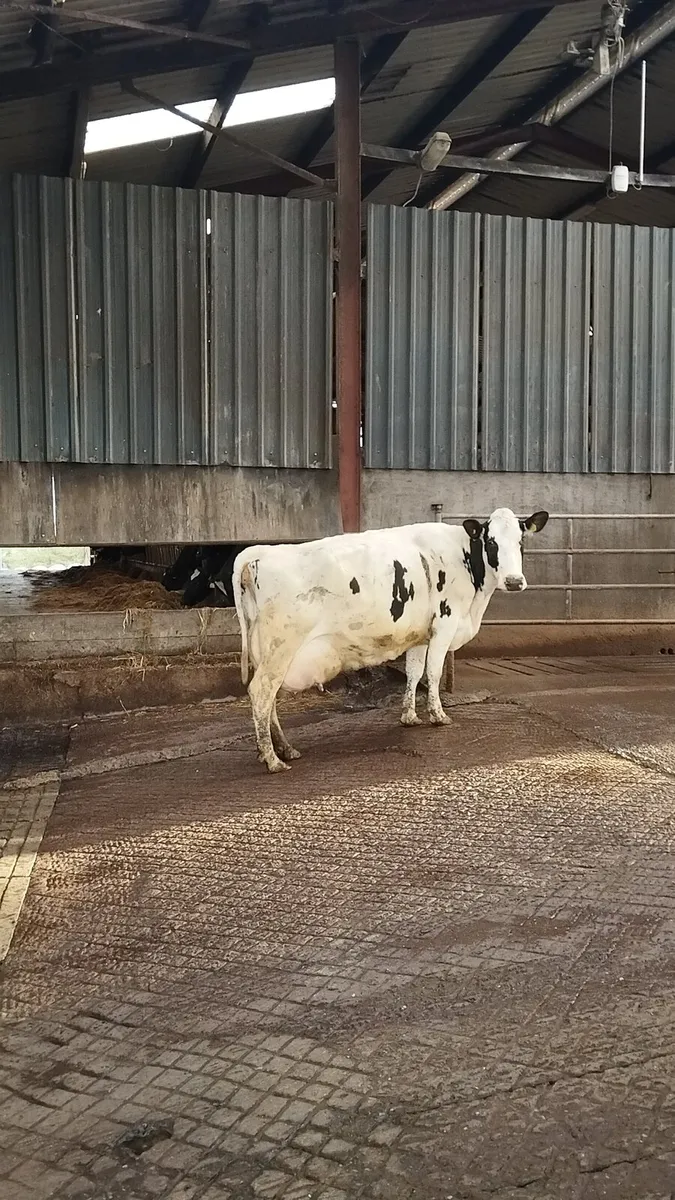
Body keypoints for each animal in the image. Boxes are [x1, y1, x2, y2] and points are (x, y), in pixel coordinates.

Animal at [233, 507, 549, 772]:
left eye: (521, 541)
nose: (514, 581)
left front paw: (409, 716)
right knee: (261, 693)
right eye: (491, 542)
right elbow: (433, 673)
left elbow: (414, 673)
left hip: (266, 654)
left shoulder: (421, 635)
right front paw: (438, 715)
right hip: (280, 649)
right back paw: (273, 759)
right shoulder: (444, 625)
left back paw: (284, 749)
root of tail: (257, 554)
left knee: (269, 700)